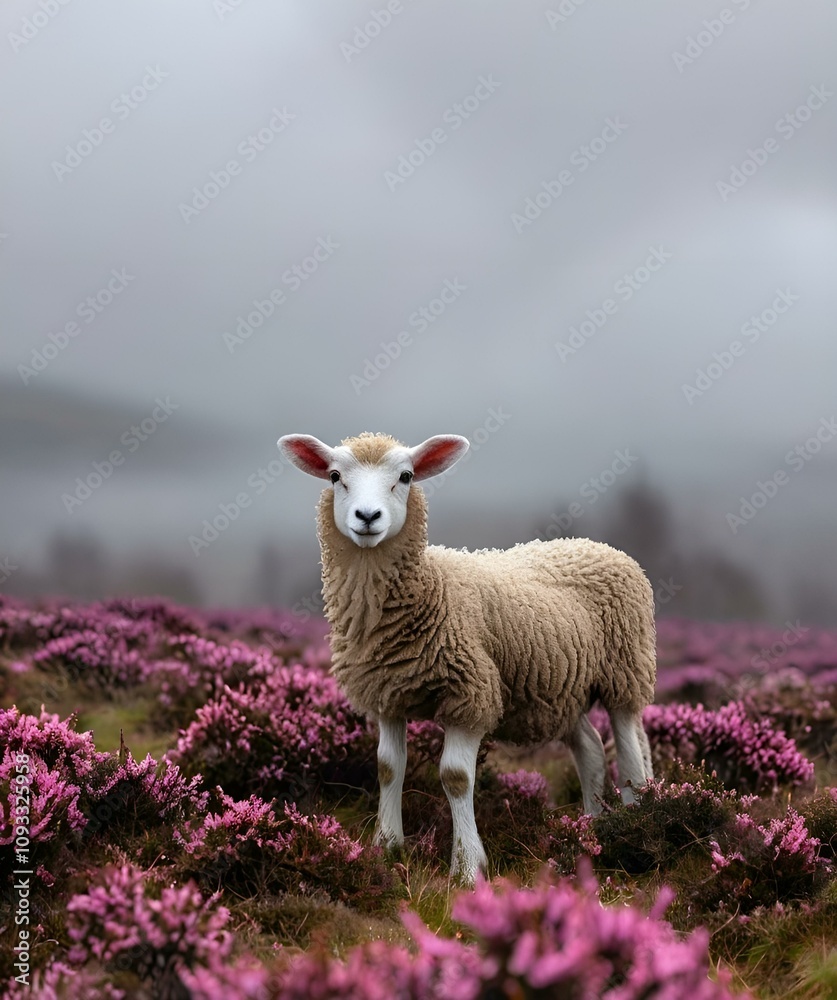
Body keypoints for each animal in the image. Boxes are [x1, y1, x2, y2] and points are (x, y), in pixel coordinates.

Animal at [277, 430, 656, 883]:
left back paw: (632, 826)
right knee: (592, 749)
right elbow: (388, 767)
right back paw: (590, 827)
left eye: (406, 476)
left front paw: (468, 867)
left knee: (631, 754)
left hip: (625, 669)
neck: (427, 587)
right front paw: (386, 847)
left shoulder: (470, 693)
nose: (367, 516)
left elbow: (455, 777)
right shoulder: (387, 694)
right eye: (335, 476)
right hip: (561, 690)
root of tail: (592, 544)